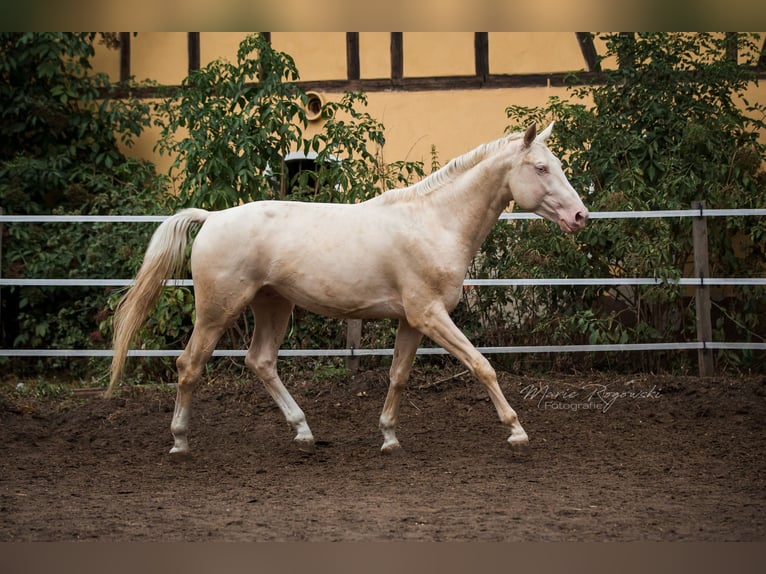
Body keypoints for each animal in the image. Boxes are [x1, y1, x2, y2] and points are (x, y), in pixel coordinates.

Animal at [108, 121, 588, 456]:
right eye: (541, 168)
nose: (580, 216)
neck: (434, 222)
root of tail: (211, 217)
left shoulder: (412, 320)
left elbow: (398, 376)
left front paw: (389, 438)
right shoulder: (431, 314)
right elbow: (481, 365)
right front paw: (517, 432)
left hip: (273, 304)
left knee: (260, 361)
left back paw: (303, 433)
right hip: (218, 310)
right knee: (189, 364)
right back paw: (180, 442)